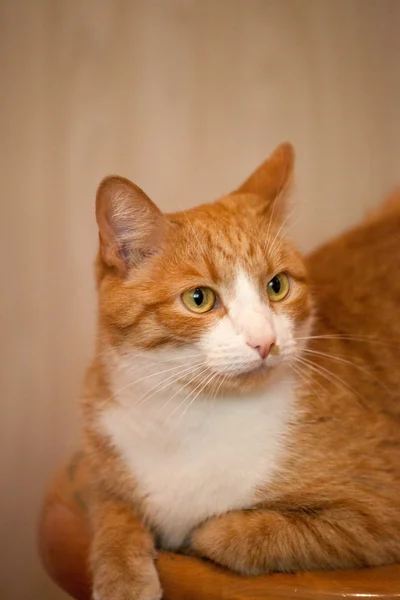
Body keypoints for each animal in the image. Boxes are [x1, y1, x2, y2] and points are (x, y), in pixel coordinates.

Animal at [83, 144, 400, 600]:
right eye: (199, 298)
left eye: (277, 286)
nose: (264, 342)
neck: (191, 413)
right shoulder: (94, 472)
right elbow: (112, 516)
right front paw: (122, 579)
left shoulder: (375, 511)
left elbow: (236, 534)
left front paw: (195, 535)